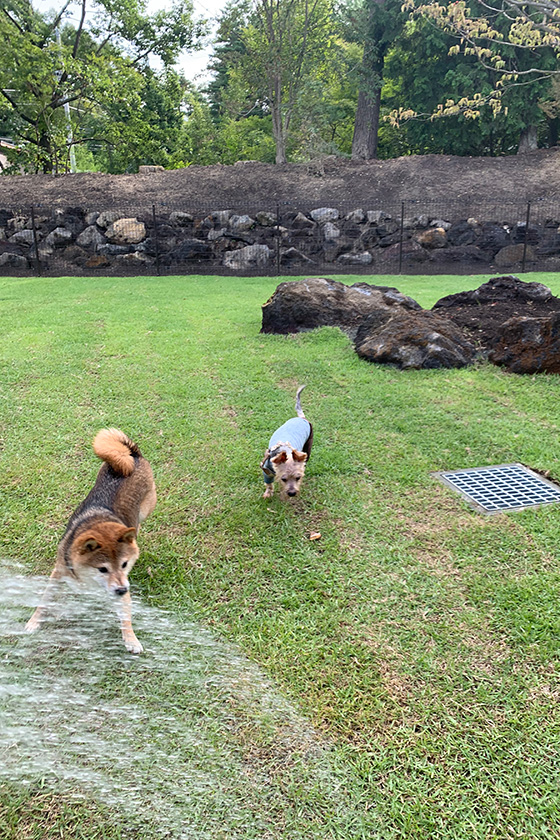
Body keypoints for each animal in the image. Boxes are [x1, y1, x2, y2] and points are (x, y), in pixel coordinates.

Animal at [26, 430, 156, 652]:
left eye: (124, 564)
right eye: (102, 569)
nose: (122, 589)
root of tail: (133, 454)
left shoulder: (122, 583)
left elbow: (125, 615)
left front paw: (131, 639)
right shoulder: (59, 572)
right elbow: (45, 600)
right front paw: (34, 621)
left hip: (147, 506)